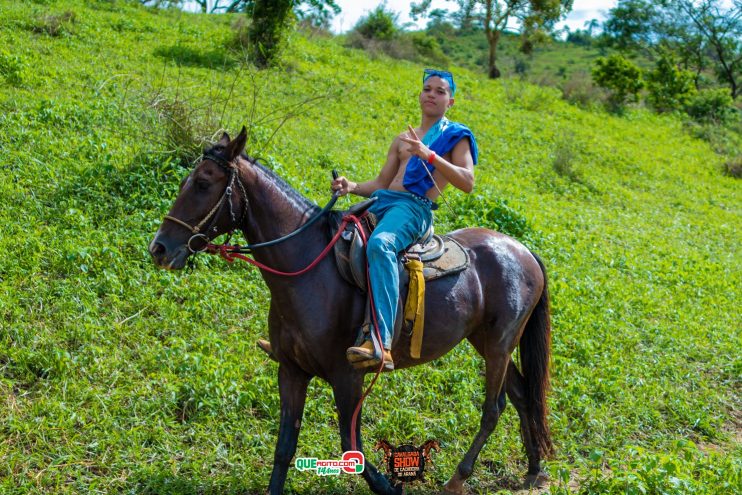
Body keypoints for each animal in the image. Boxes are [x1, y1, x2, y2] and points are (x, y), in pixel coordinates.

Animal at [150, 129, 552, 495]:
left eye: (203, 183)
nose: (160, 248)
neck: (308, 269)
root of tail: (523, 251)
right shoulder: (291, 370)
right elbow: (284, 449)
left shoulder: (348, 377)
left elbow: (351, 447)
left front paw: (392, 487)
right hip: (486, 341)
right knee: (522, 395)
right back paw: (534, 469)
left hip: (499, 344)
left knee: (494, 407)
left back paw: (459, 478)